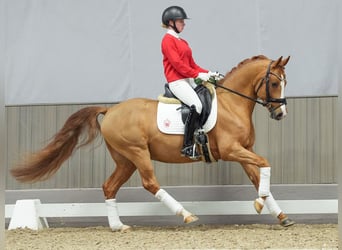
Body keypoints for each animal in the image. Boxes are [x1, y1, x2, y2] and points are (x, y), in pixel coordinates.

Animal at [10, 54, 294, 230]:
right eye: (274, 82)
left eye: (284, 82)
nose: (281, 114)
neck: (232, 104)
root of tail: (110, 110)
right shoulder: (231, 150)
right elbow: (266, 164)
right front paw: (260, 204)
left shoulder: (244, 150)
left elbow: (259, 177)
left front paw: (279, 214)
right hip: (137, 153)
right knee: (149, 183)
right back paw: (186, 215)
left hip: (125, 160)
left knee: (109, 187)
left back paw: (118, 226)